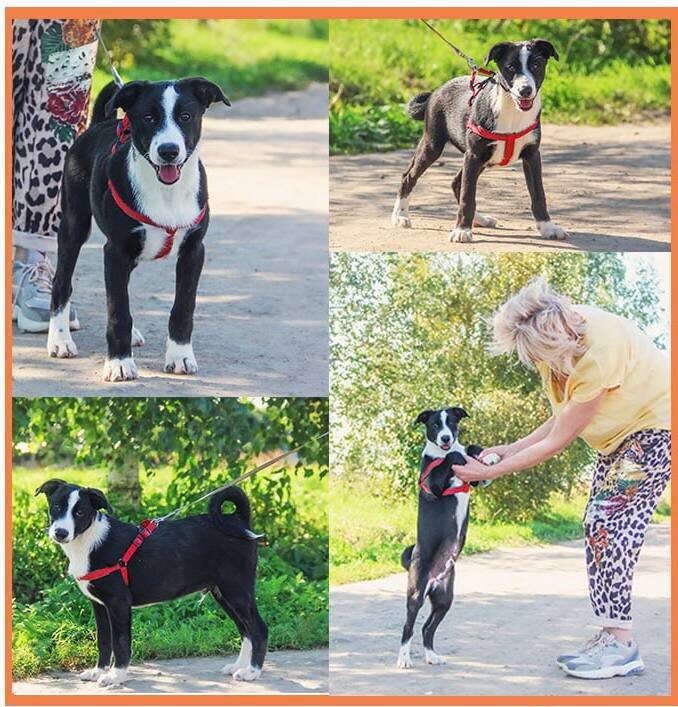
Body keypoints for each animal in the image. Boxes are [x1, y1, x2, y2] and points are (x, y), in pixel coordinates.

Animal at [36, 479, 267, 686]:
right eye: (57, 507)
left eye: (80, 512)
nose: (60, 533)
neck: (88, 541)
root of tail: (237, 520)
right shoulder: (99, 605)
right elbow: (104, 641)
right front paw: (97, 671)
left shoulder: (118, 604)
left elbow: (120, 643)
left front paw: (116, 676)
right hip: (223, 594)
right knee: (245, 630)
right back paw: (238, 666)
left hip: (236, 590)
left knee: (258, 628)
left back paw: (252, 672)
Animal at [47, 77, 229, 381]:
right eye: (148, 118)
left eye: (185, 116)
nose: (168, 151)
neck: (166, 192)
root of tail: (100, 124)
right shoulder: (116, 251)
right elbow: (119, 310)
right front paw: (119, 363)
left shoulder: (194, 250)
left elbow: (183, 307)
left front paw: (180, 356)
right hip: (74, 224)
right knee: (62, 282)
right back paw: (59, 340)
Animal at [391, 39, 567, 243]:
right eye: (510, 67)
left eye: (536, 65)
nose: (525, 91)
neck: (512, 111)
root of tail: (436, 91)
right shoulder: (473, 155)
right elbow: (468, 196)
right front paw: (461, 230)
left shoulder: (531, 155)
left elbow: (539, 195)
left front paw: (547, 227)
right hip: (433, 144)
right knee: (409, 176)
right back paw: (400, 216)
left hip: (482, 160)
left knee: (457, 183)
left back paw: (480, 219)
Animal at [397, 407, 490, 669]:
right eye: (435, 425)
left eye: (452, 423)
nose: (446, 438)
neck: (441, 452)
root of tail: (432, 581)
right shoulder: (431, 485)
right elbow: (450, 460)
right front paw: (456, 455)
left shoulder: (477, 479)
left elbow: (471, 452)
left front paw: (485, 455)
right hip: (416, 594)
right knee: (408, 628)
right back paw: (404, 659)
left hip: (444, 599)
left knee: (427, 628)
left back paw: (431, 655)